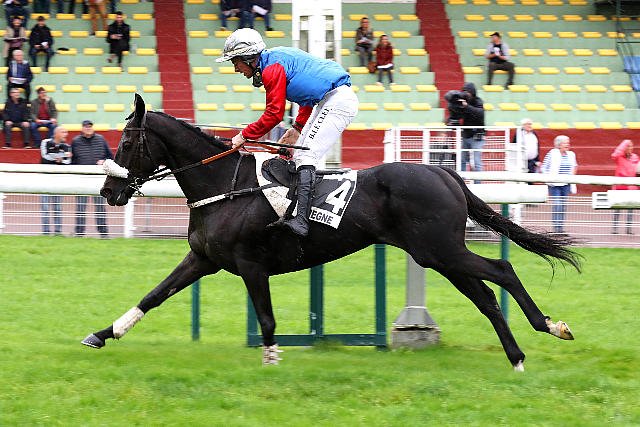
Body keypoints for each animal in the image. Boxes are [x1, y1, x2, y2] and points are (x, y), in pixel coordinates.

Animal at [82, 94, 581, 370]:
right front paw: (103, 334)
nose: (109, 190)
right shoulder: (203, 259)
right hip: (436, 254)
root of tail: (444, 172)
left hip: (439, 249)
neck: (225, 183)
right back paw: (516, 357)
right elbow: (153, 296)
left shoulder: (249, 264)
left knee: (502, 270)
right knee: (485, 295)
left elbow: (267, 319)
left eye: (128, 141)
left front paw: (272, 360)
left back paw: (549, 326)